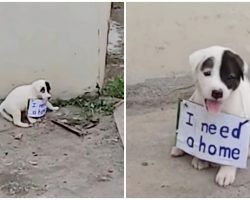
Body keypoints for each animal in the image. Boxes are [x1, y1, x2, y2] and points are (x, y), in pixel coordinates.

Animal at [171, 46, 250, 187]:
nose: (217, 93)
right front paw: (200, 159)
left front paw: (226, 171)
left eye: (230, 77)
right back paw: (178, 147)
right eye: (207, 73)